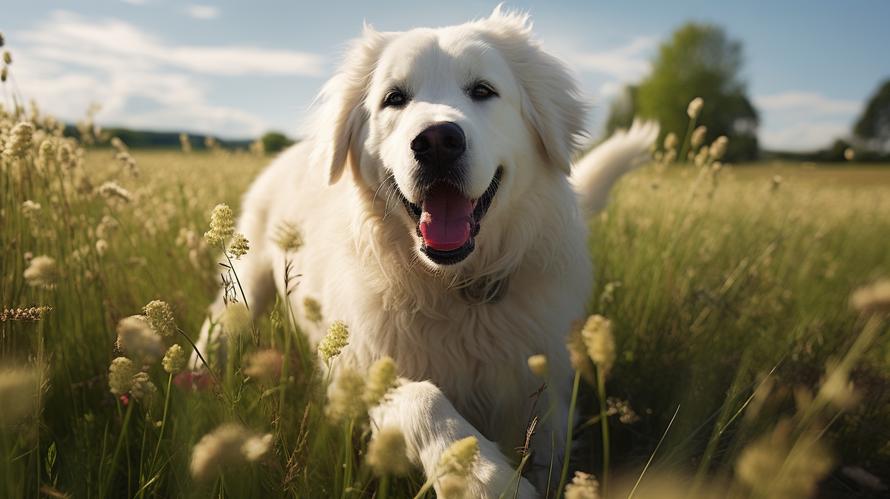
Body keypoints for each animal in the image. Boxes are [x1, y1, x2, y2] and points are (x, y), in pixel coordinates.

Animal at [193, 7, 652, 499]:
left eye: (483, 91)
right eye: (394, 98)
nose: (436, 141)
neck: (456, 287)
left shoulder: (541, 381)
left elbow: (549, 445)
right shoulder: (360, 374)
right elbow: (425, 399)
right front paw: (484, 477)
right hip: (247, 284)